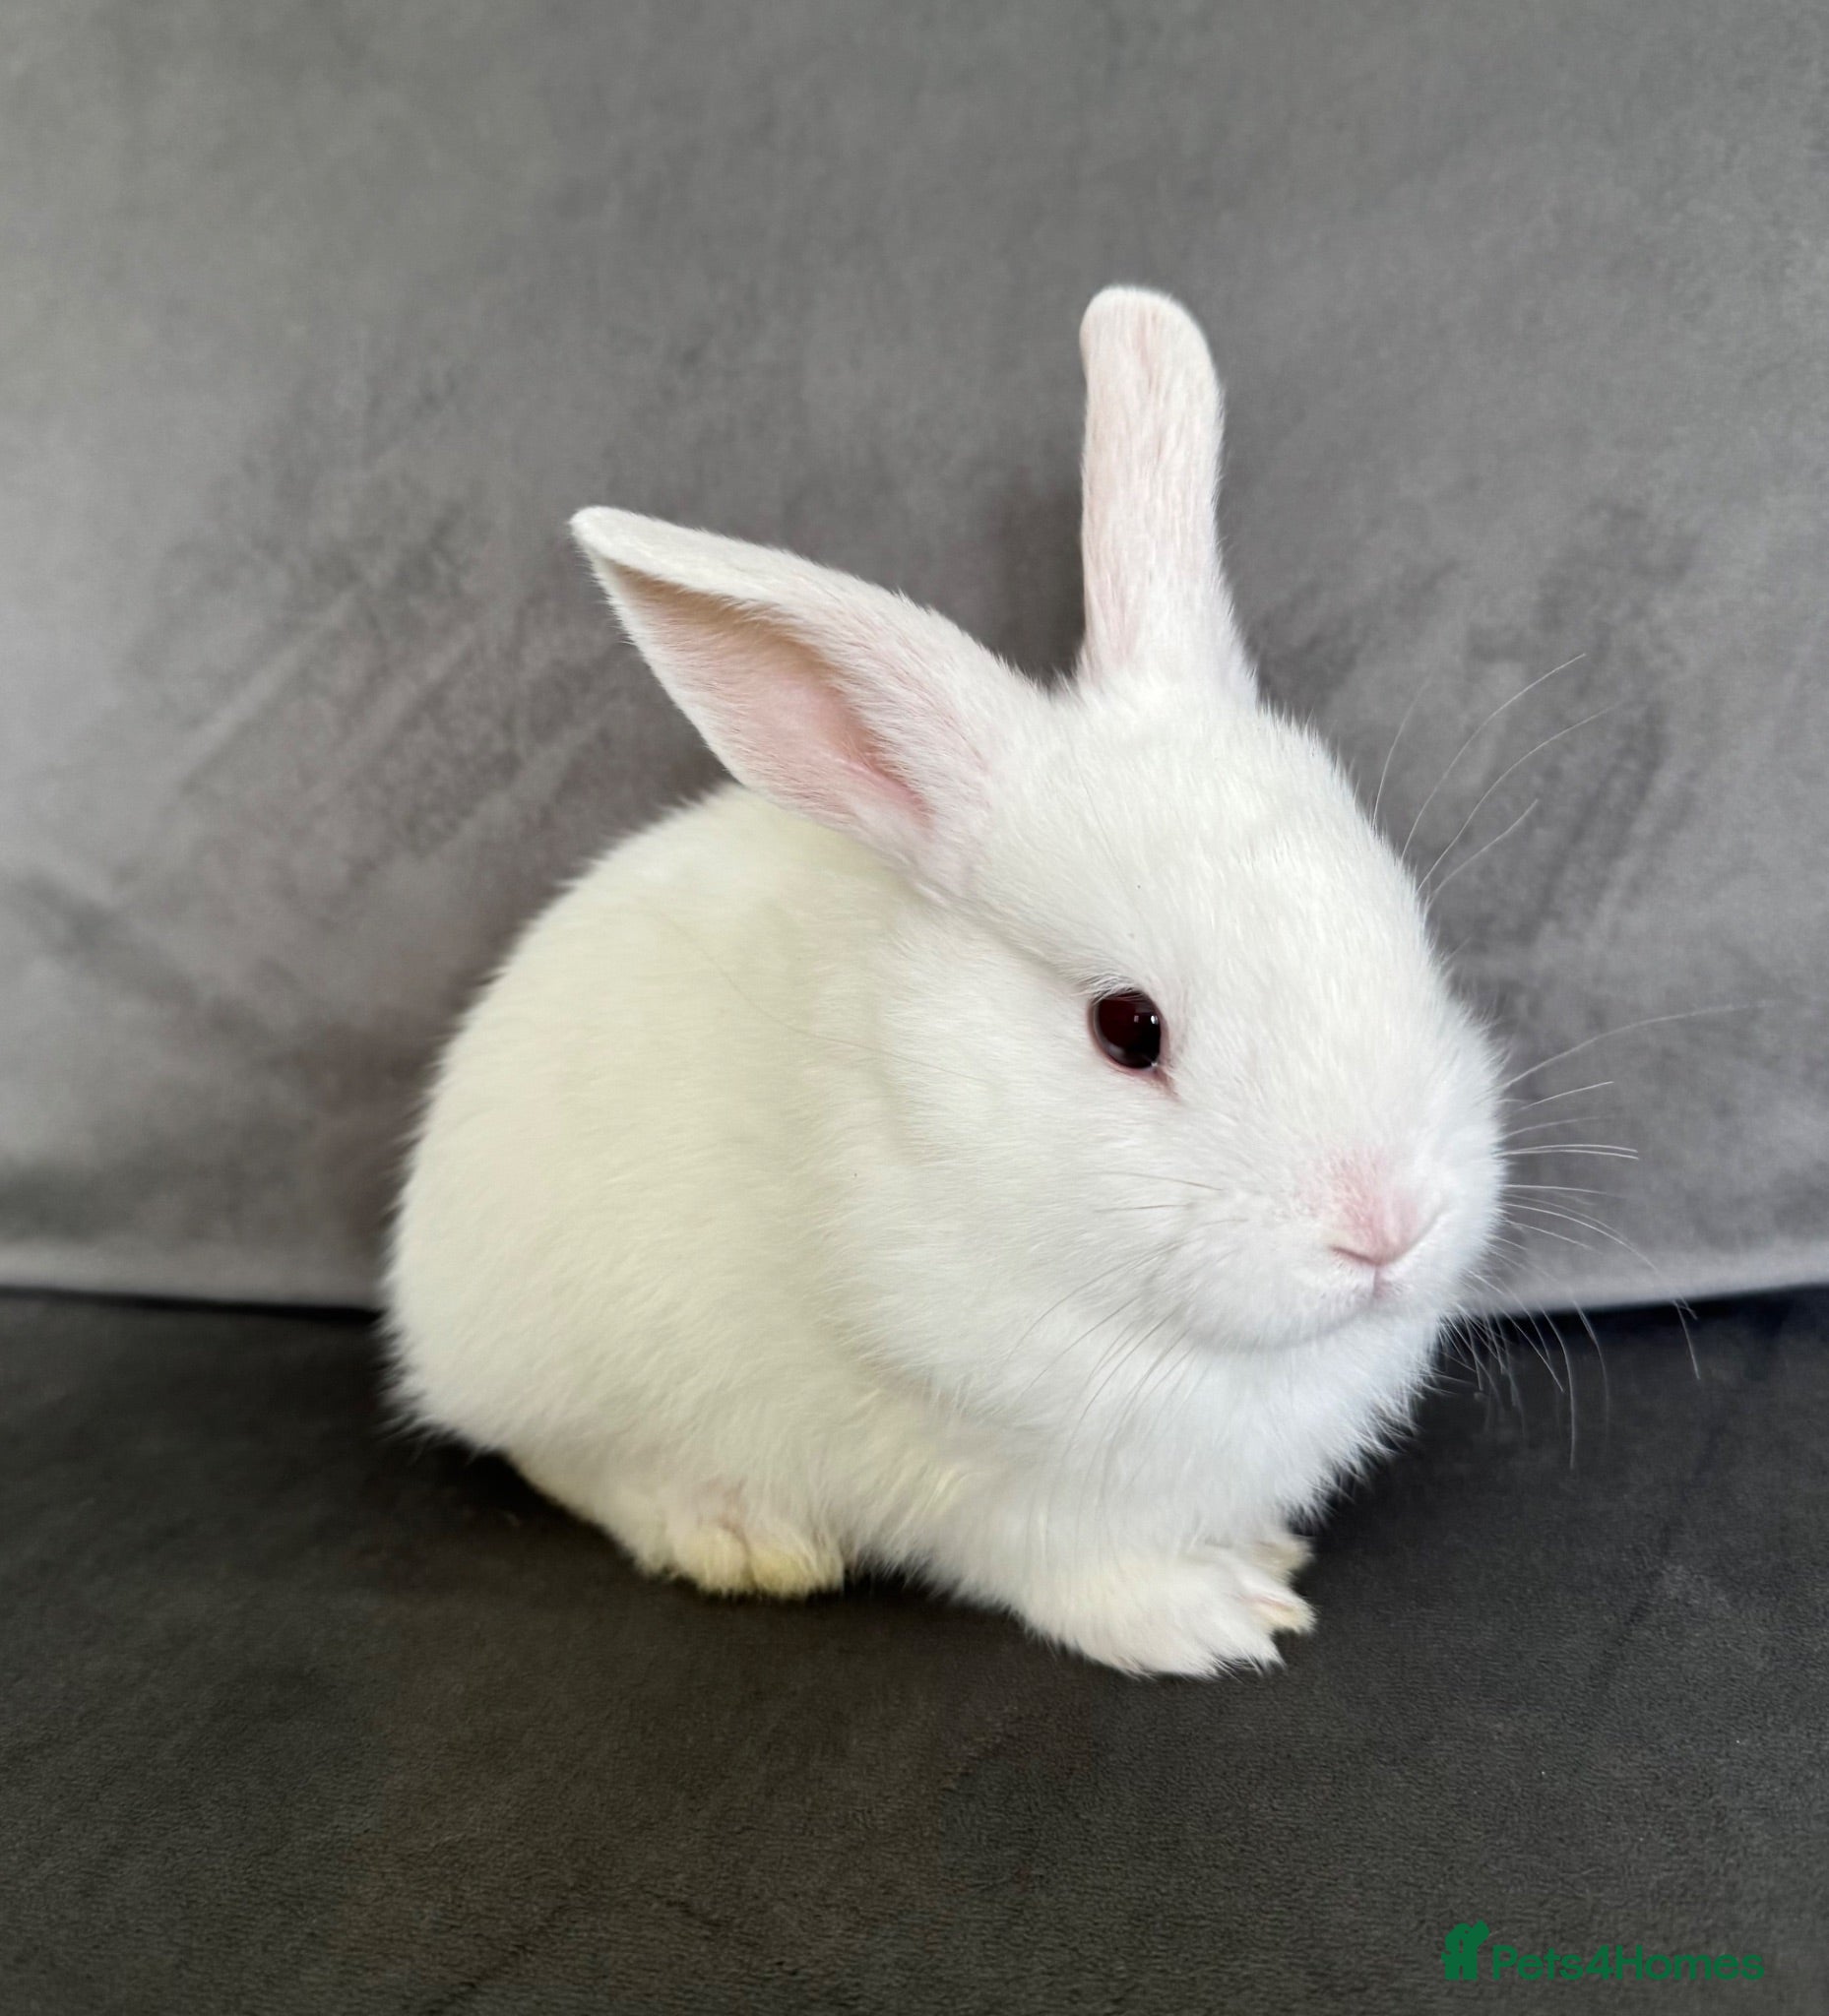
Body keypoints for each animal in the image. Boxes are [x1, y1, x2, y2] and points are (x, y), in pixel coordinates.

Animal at [387, 286, 1504, 1677]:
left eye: (1405, 929)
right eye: (1127, 1028)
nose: (1387, 1227)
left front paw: (1261, 1554)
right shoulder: (1005, 1481)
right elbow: (1074, 1569)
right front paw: (1213, 1617)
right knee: (570, 1462)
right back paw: (735, 1531)